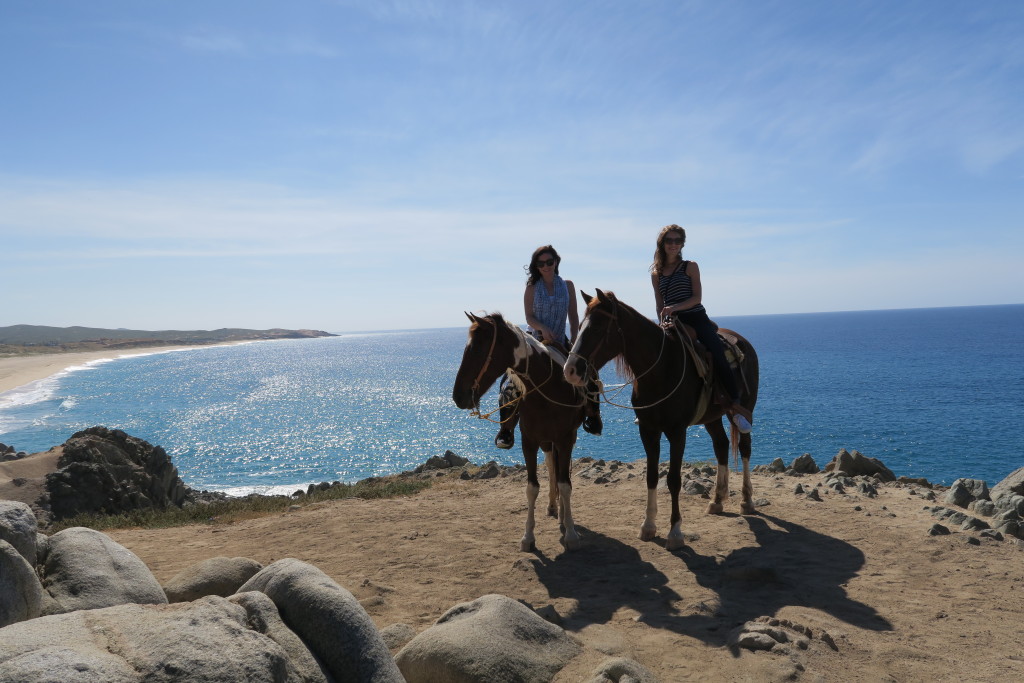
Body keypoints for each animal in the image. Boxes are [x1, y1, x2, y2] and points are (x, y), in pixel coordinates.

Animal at [452, 313, 589, 552]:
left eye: (477, 349)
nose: (458, 396)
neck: (547, 389)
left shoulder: (565, 440)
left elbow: (566, 484)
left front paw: (571, 534)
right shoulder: (529, 442)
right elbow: (532, 487)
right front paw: (528, 537)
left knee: (562, 473)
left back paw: (563, 516)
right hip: (546, 441)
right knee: (552, 466)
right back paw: (552, 506)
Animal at [561, 290, 761, 552]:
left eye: (597, 328)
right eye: (580, 326)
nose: (570, 370)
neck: (661, 369)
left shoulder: (677, 432)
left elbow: (674, 480)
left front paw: (675, 532)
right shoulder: (648, 431)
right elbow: (652, 476)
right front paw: (648, 526)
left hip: (743, 408)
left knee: (745, 447)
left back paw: (747, 500)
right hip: (712, 416)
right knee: (721, 445)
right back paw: (717, 500)